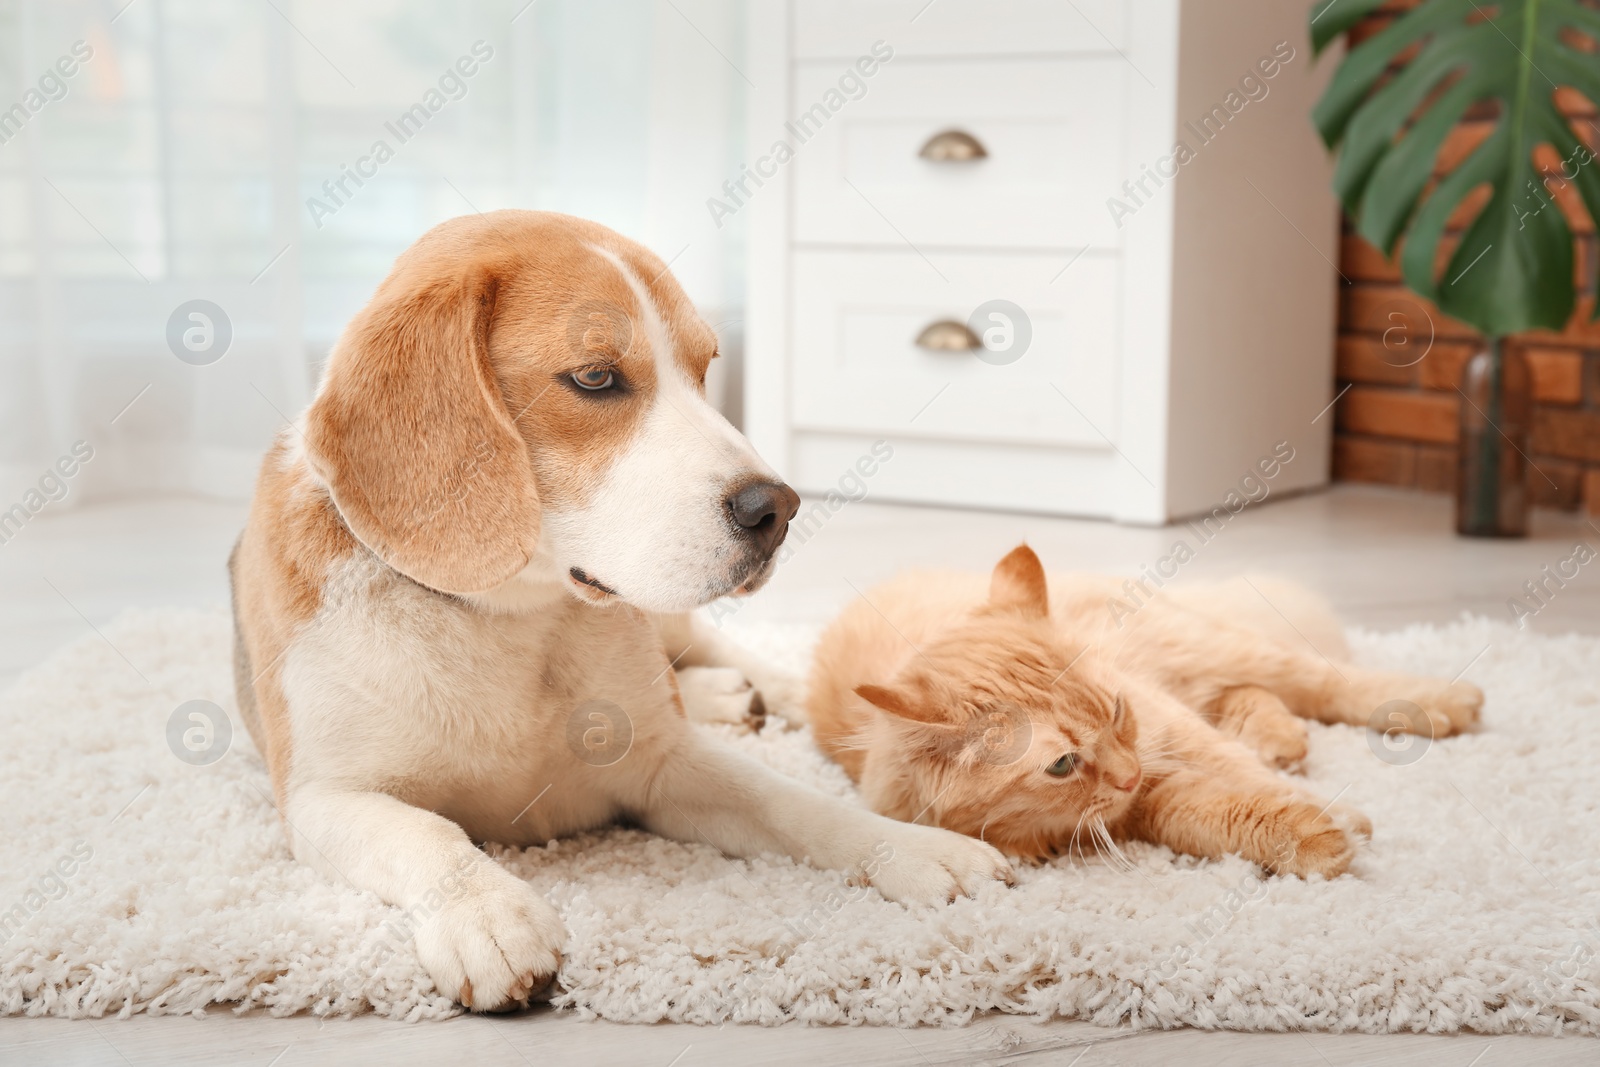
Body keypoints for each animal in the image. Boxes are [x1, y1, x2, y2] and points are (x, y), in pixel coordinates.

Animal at [228, 212, 1011, 1017]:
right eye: (596, 377)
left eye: (704, 369)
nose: (778, 509)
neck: (511, 619)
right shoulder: (322, 800)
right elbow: (426, 832)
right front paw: (488, 913)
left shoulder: (665, 763)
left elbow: (792, 802)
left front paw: (910, 847)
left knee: (721, 655)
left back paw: (781, 693)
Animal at [806, 547, 1478, 883]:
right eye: (1063, 765)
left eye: (1115, 709)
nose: (1128, 773)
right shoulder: (1143, 808)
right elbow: (1219, 814)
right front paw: (1308, 836)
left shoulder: (1163, 723)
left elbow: (1239, 771)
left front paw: (1334, 814)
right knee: (1255, 697)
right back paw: (1279, 737)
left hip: (1209, 649)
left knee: (1327, 682)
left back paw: (1445, 703)